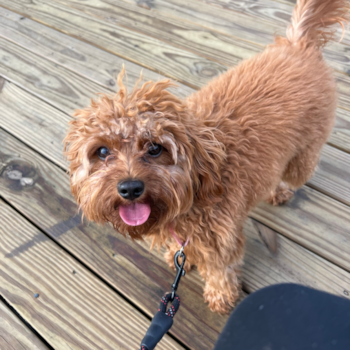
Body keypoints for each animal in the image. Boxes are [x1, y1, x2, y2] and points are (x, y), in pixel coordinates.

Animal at [65, 0, 350, 314]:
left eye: (155, 148)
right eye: (102, 151)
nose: (129, 188)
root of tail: (298, 43)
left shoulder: (222, 240)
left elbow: (220, 270)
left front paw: (221, 296)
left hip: (304, 154)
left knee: (295, 173)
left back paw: (281, 190)